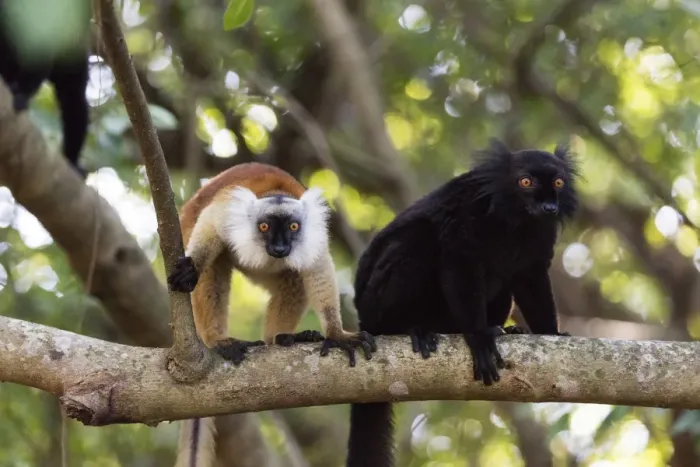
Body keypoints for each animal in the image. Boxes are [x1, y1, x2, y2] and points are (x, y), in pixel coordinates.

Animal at [166, 162, 377, 467]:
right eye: (264, 227)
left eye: (293, 227)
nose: (279, 248)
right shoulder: (228, 212)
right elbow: (211, 226)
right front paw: (190, 267)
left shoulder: (311, 236)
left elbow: (317, 266)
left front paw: (337, 334)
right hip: (186, 228)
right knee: (213, 265)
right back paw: (218, 340)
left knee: (294, 276)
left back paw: (281, 338)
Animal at [345, 139, 579, 467]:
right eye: (526, 182)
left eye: (558, 183)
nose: (549, 207)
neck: (515, 221)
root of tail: (363, 318)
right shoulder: (468, 214)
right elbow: (459, 261)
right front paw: (479, 339)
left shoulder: (542, 233)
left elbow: (531, 278)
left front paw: (551, 333)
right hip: (375, 305)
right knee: (419, 235)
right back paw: (412, 328)